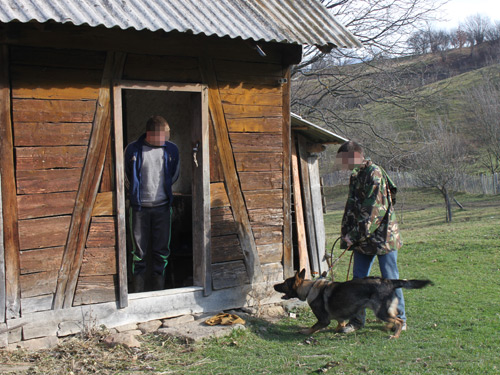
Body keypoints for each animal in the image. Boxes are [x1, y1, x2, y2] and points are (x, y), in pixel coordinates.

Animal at [274, 268, 430, 340]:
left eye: (284, 284)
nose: (274, 285)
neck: (309, 287)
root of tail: (389, 281)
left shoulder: (323, 320)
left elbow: (314, 327)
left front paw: (306, 331)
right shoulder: (339, 316)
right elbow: (340, 322)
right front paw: (339, 329)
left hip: (381, 312)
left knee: (398, 320)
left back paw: (395, 335)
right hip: (384, 310)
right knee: (396, 316)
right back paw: (388, 327)